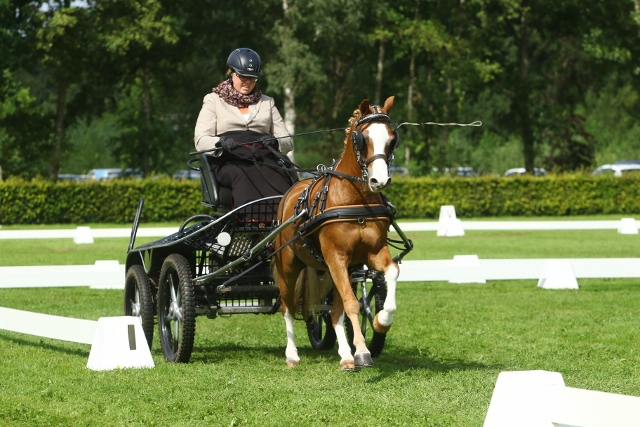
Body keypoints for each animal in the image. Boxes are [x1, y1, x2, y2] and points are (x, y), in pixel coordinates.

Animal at [272, 96, 400, 370]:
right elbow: (353, 304)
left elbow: (392, 273)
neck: (355, 200)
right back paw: (292, 355)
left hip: (342, 269)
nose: (379, 181)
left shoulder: (371, 254)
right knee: (288, 307)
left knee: (333, 312)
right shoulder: (336, 257)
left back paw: (345, 355)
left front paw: (380, 322)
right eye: (363, 138)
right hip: (289, 265)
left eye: (392, 138)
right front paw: (362, 351)